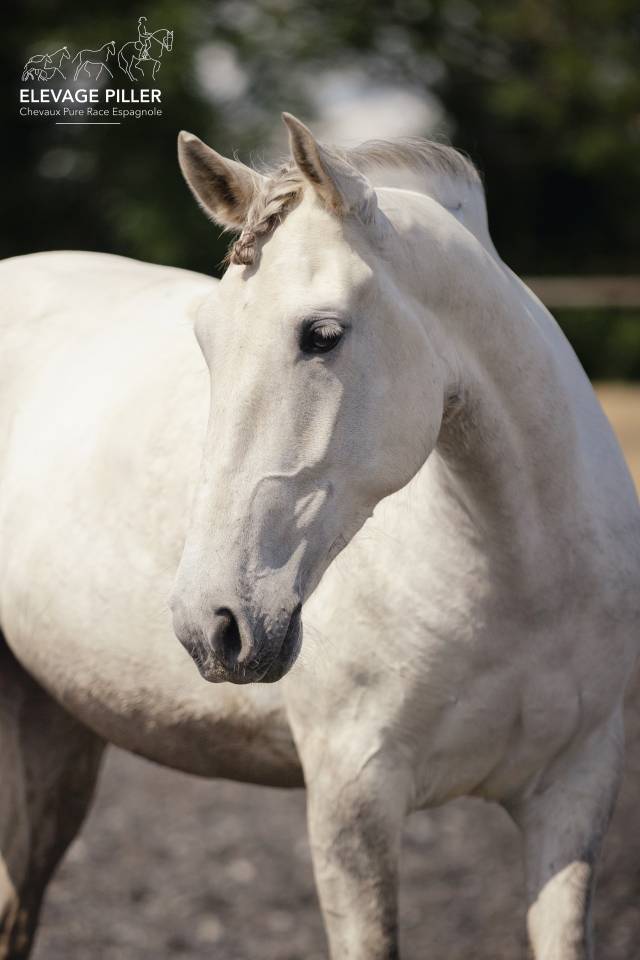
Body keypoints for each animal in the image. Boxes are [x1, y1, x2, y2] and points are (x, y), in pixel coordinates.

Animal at [0, 113, 638, 960]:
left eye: (322, 334)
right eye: (205, 339)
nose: (210, 625)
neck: (526, 581)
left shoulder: (573, 794)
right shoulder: (352, 800)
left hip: (52, 730)